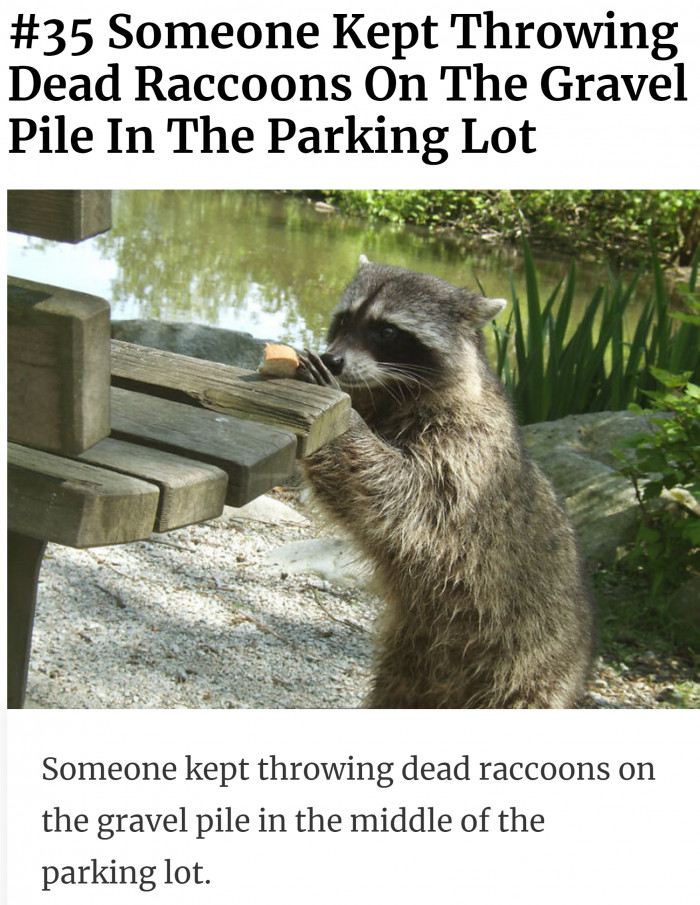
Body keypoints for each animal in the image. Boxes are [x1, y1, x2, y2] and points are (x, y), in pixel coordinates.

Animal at [299, 257, 595, 708]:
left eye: (387, 331)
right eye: (345, 319)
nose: (332, 361)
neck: (390, 393)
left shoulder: (470, 450)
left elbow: (407, 496)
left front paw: (346, 423)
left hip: (529, 670)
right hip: (408, 665)